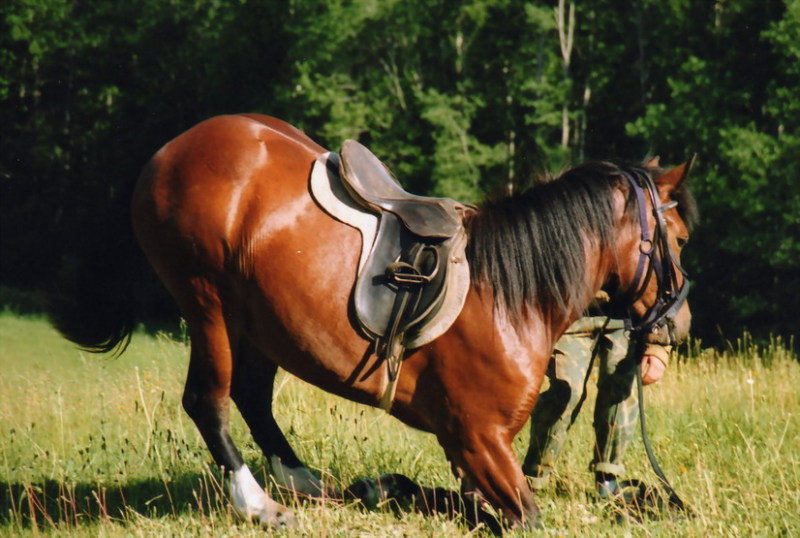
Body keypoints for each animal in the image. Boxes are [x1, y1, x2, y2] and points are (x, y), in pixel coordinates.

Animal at [53, 113, 696, 528]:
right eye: (682, 238)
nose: (679, 324)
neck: (512, 295)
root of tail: (169, 150)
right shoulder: (478, 441)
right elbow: (527, 516)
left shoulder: (468, 455)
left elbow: (434, 497)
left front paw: (377, 488)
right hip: (208, 302)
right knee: (208, 401)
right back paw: (261, 505)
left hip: (254, 317)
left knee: (252, 398)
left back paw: (307, 483)